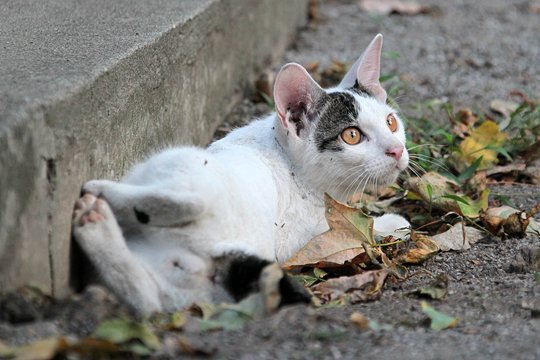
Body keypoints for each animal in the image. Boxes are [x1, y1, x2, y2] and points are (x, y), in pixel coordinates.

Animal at [71, 33, 410, 316]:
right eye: (352, 136)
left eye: (391, 122)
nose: (396, 150)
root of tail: (211, 245)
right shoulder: (305, 235)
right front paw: (385, 222)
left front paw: (389, 223)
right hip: (185, 164)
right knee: (191, 202)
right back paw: (103, 191)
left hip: (190, 284)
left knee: (148, 299)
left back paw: (97, 225)